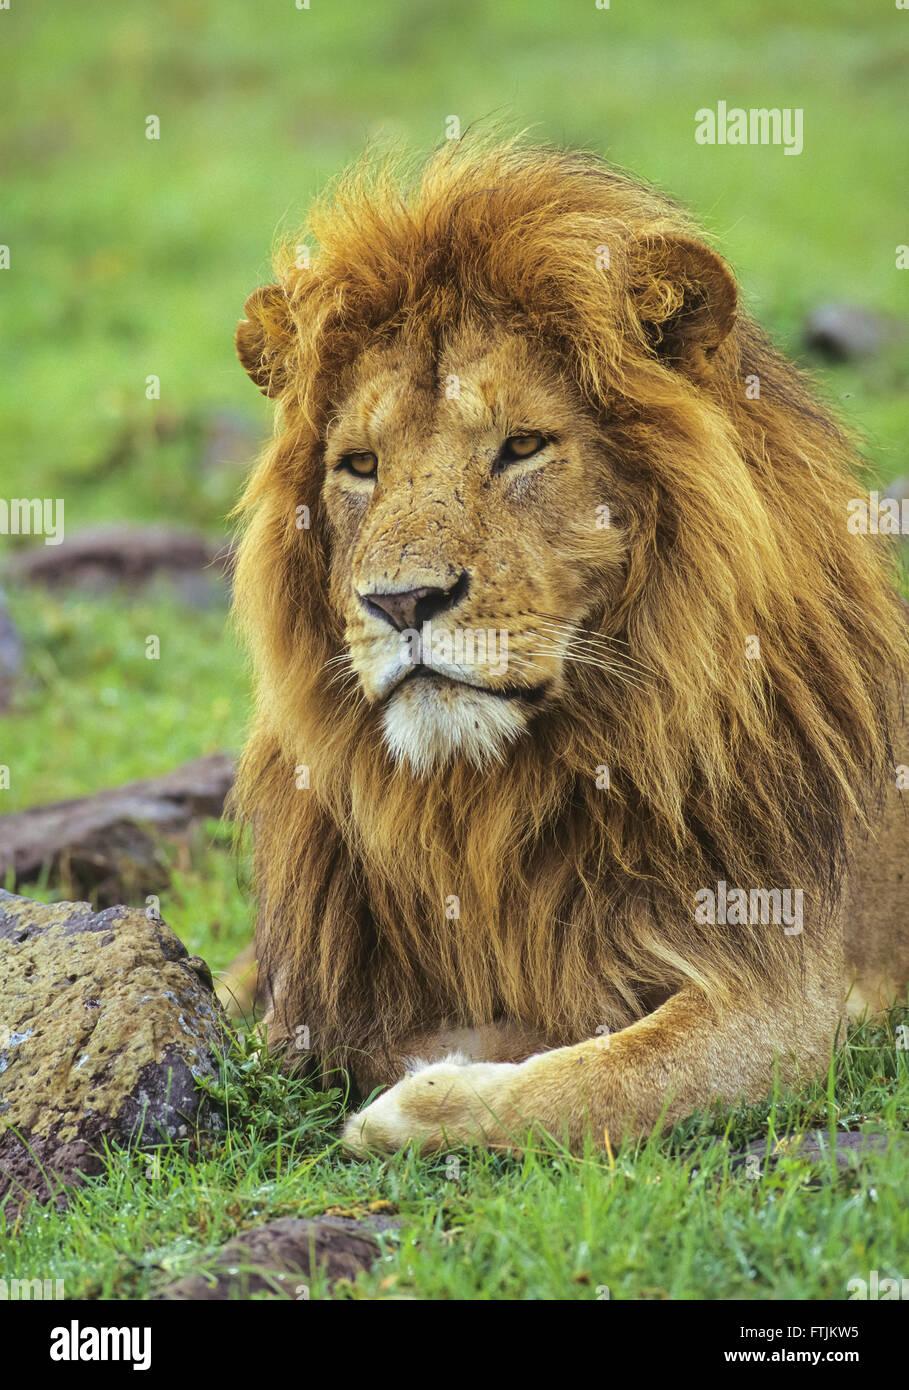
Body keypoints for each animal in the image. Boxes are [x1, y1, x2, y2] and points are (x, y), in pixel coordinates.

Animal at [227, 135, 909, 1156]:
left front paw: (416, 1102)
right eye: (359, 466)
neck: (486, 809)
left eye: (522, 446)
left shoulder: (792, 988)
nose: (401, 600)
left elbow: (600, 1080)